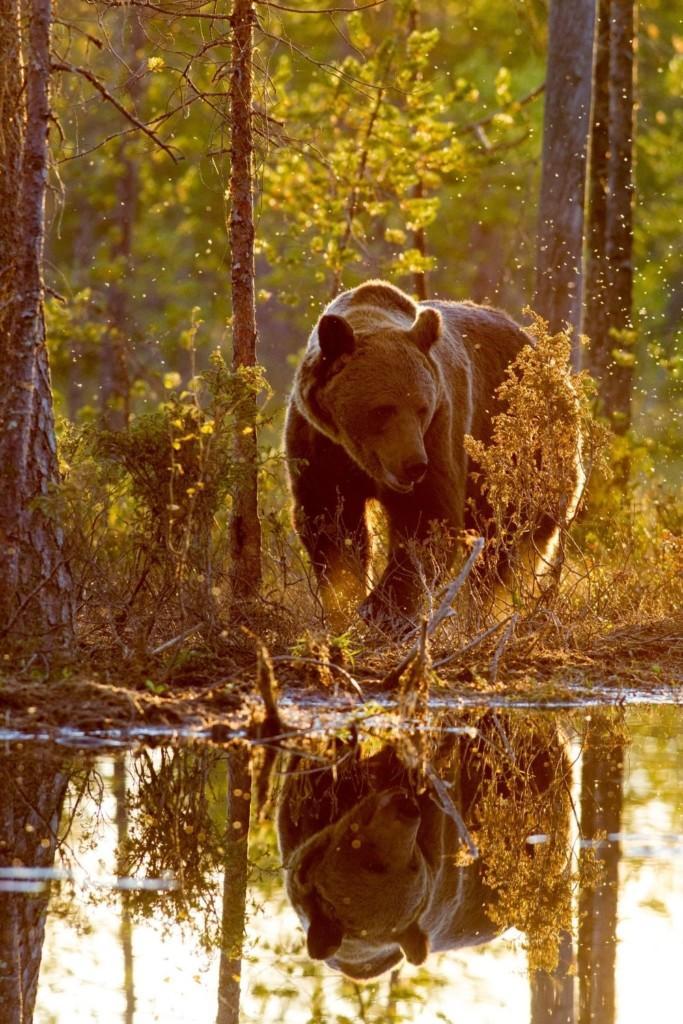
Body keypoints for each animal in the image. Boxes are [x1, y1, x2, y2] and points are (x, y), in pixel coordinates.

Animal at [286, 276, 581, 626]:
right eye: (382, 409)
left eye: (421, 408)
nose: (414, 464)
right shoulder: (318, 442)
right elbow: (329, 523)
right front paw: (345, 599)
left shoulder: (440, 431)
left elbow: (427, 520)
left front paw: (383, 610)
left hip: (527, 451)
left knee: (508, 541)